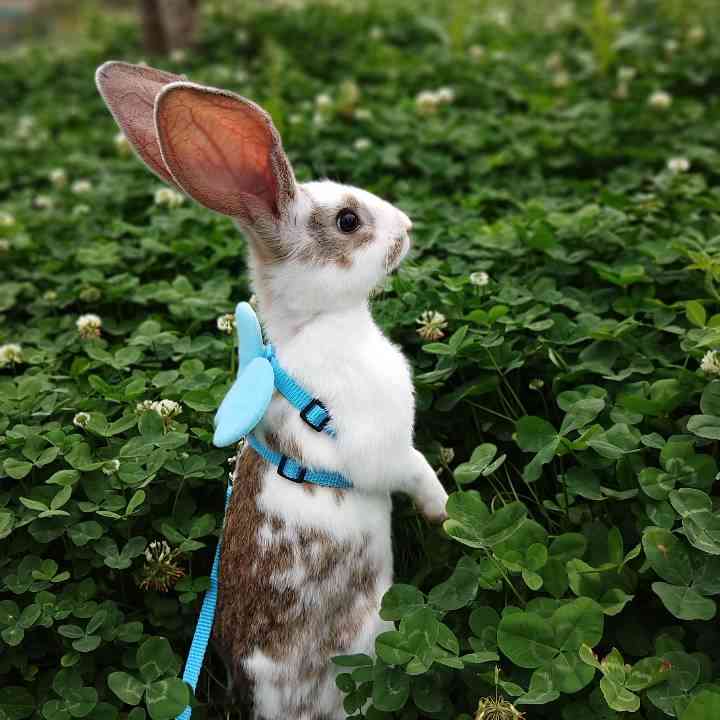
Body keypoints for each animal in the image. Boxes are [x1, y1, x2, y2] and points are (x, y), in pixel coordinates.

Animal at [94, 62, 444, 720]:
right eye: (348, 221)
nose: (408, 228)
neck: (315, 326)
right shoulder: (381, 448)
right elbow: (414, 470)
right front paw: (444, 512)